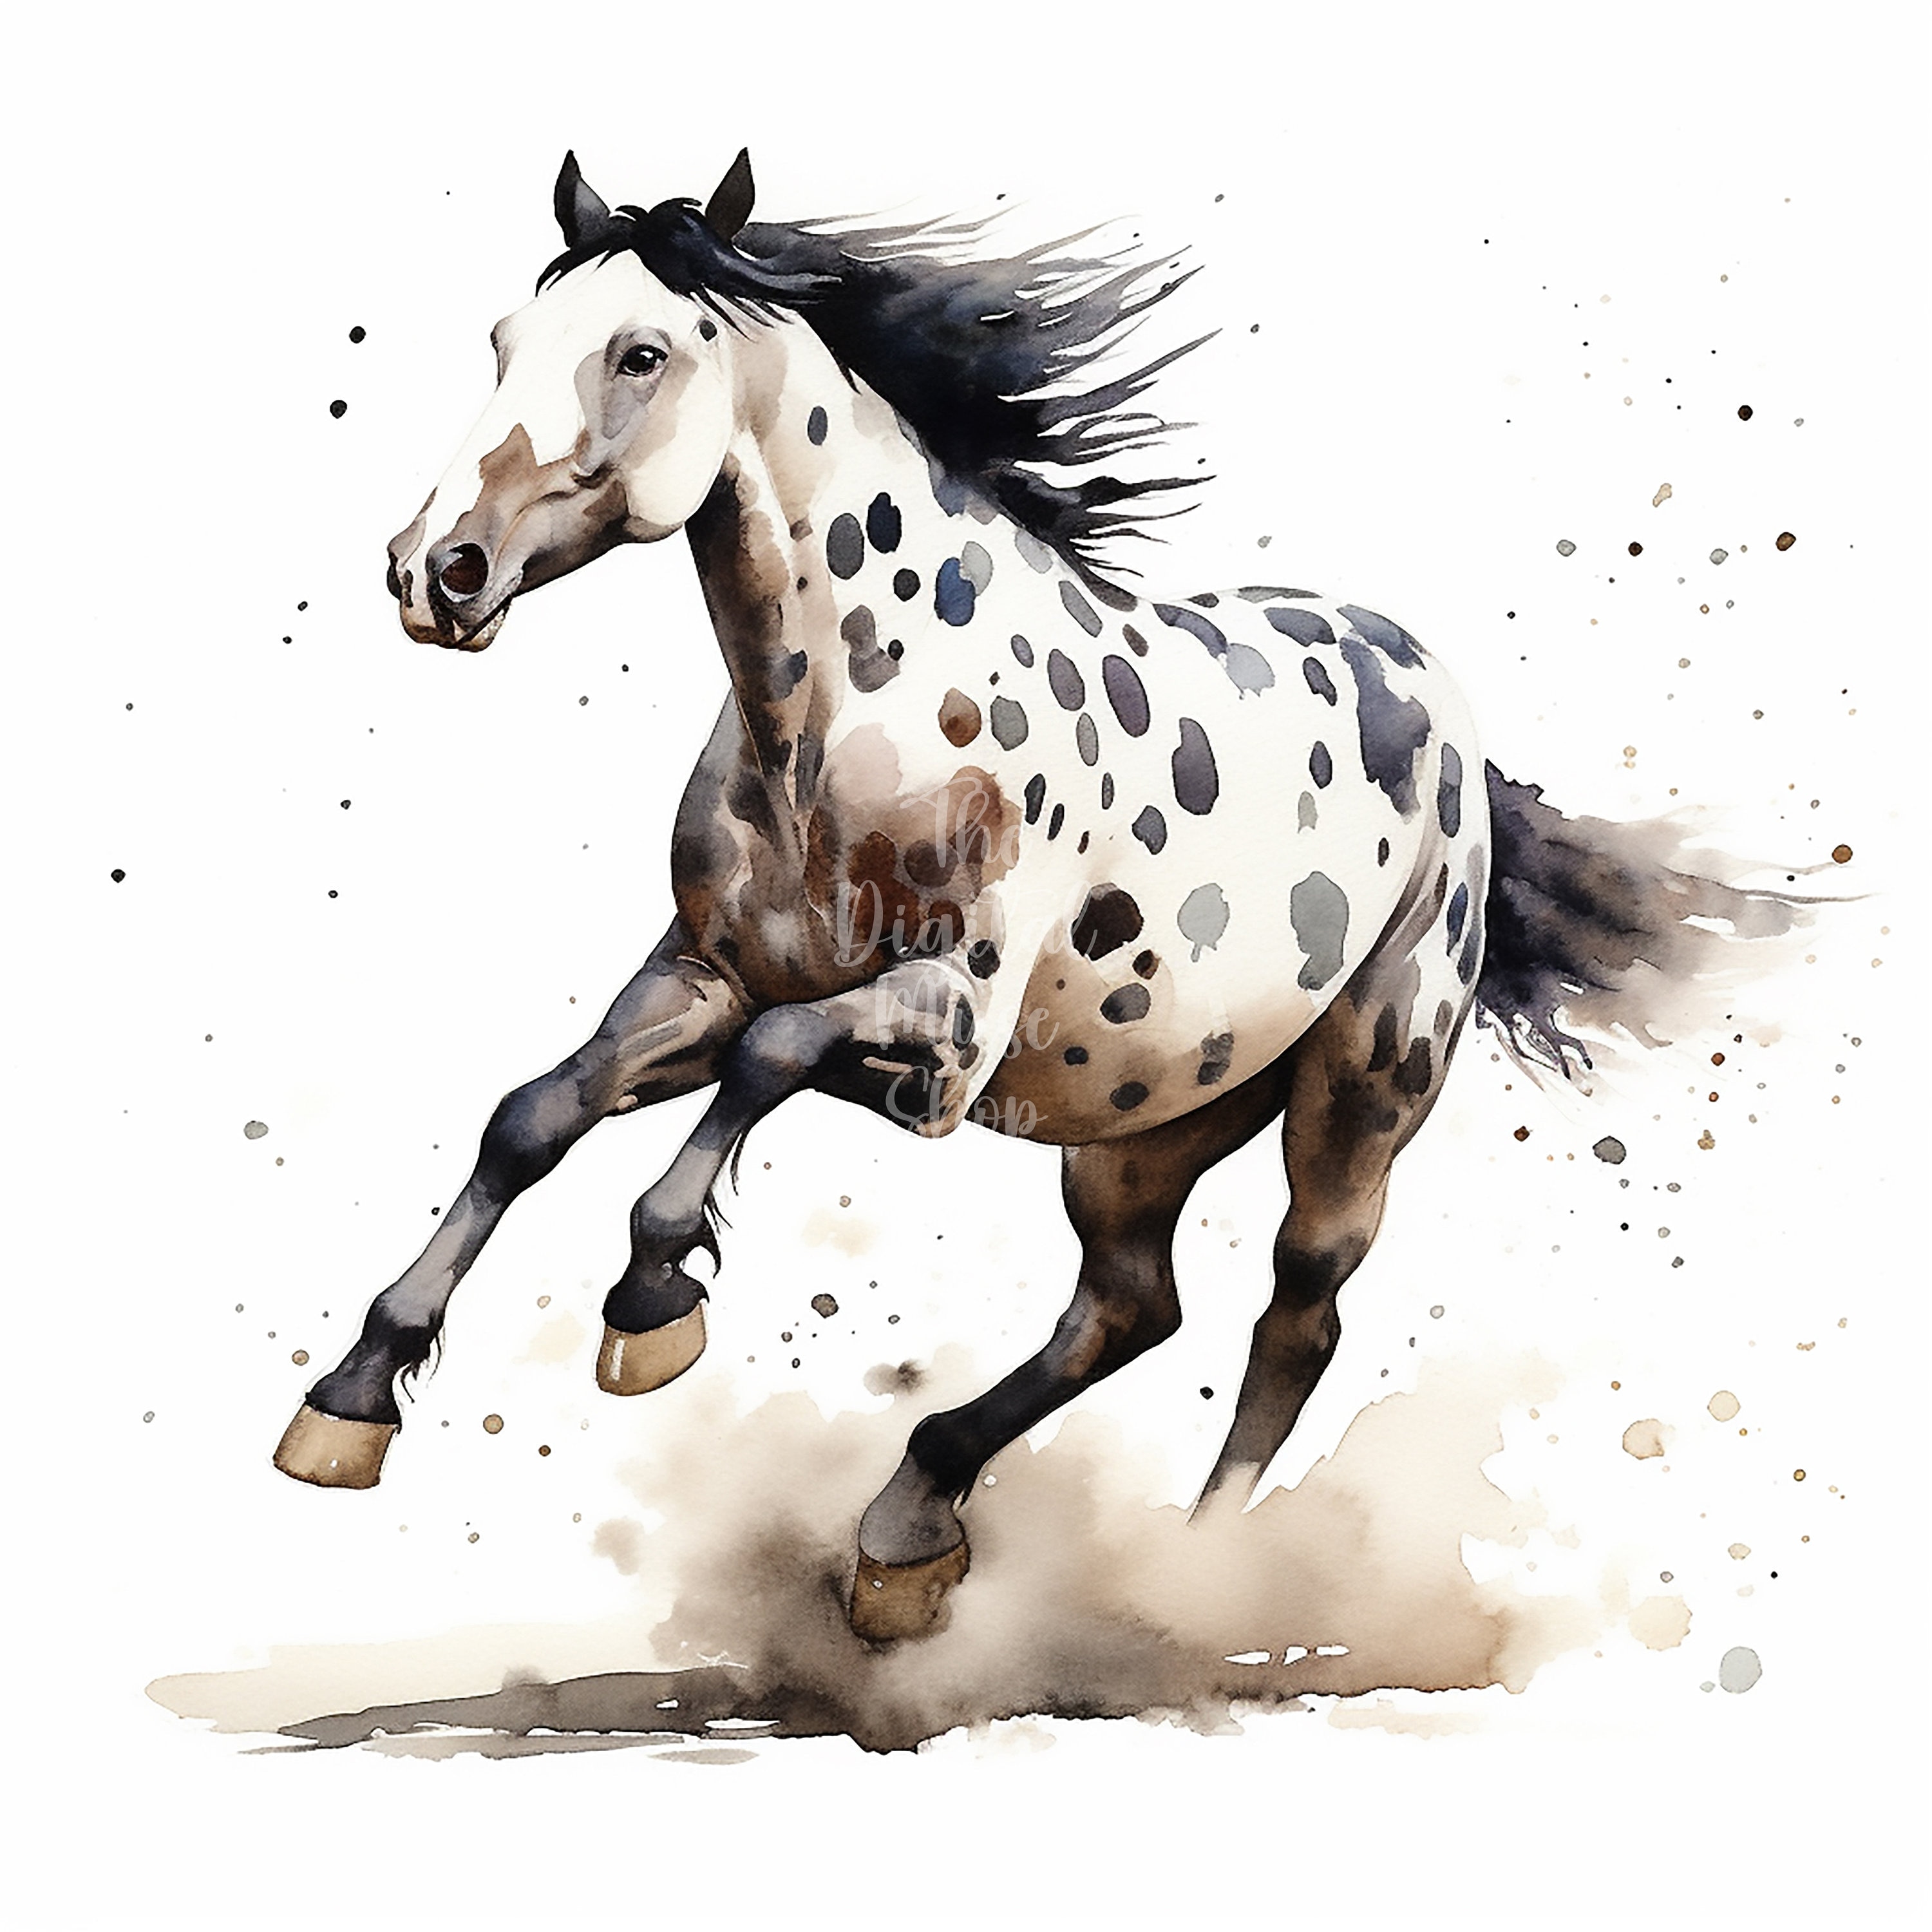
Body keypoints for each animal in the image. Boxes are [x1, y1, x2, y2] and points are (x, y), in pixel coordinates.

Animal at [273, 151, 1806, 1641]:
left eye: (641, 352)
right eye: (503, 341)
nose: (436, 570)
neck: (854, 717)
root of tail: (1440, 707)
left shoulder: (945, 1042)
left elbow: (768, 1062)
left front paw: (651, 1307)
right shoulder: (697, 977)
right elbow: (536, 1113)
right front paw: (346, 1402)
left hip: (1361, 1099)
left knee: (1294, 1321)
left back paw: (1188, 1581)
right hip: (1143, 1125)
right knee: (1129, 1310)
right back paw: (907, 1534)